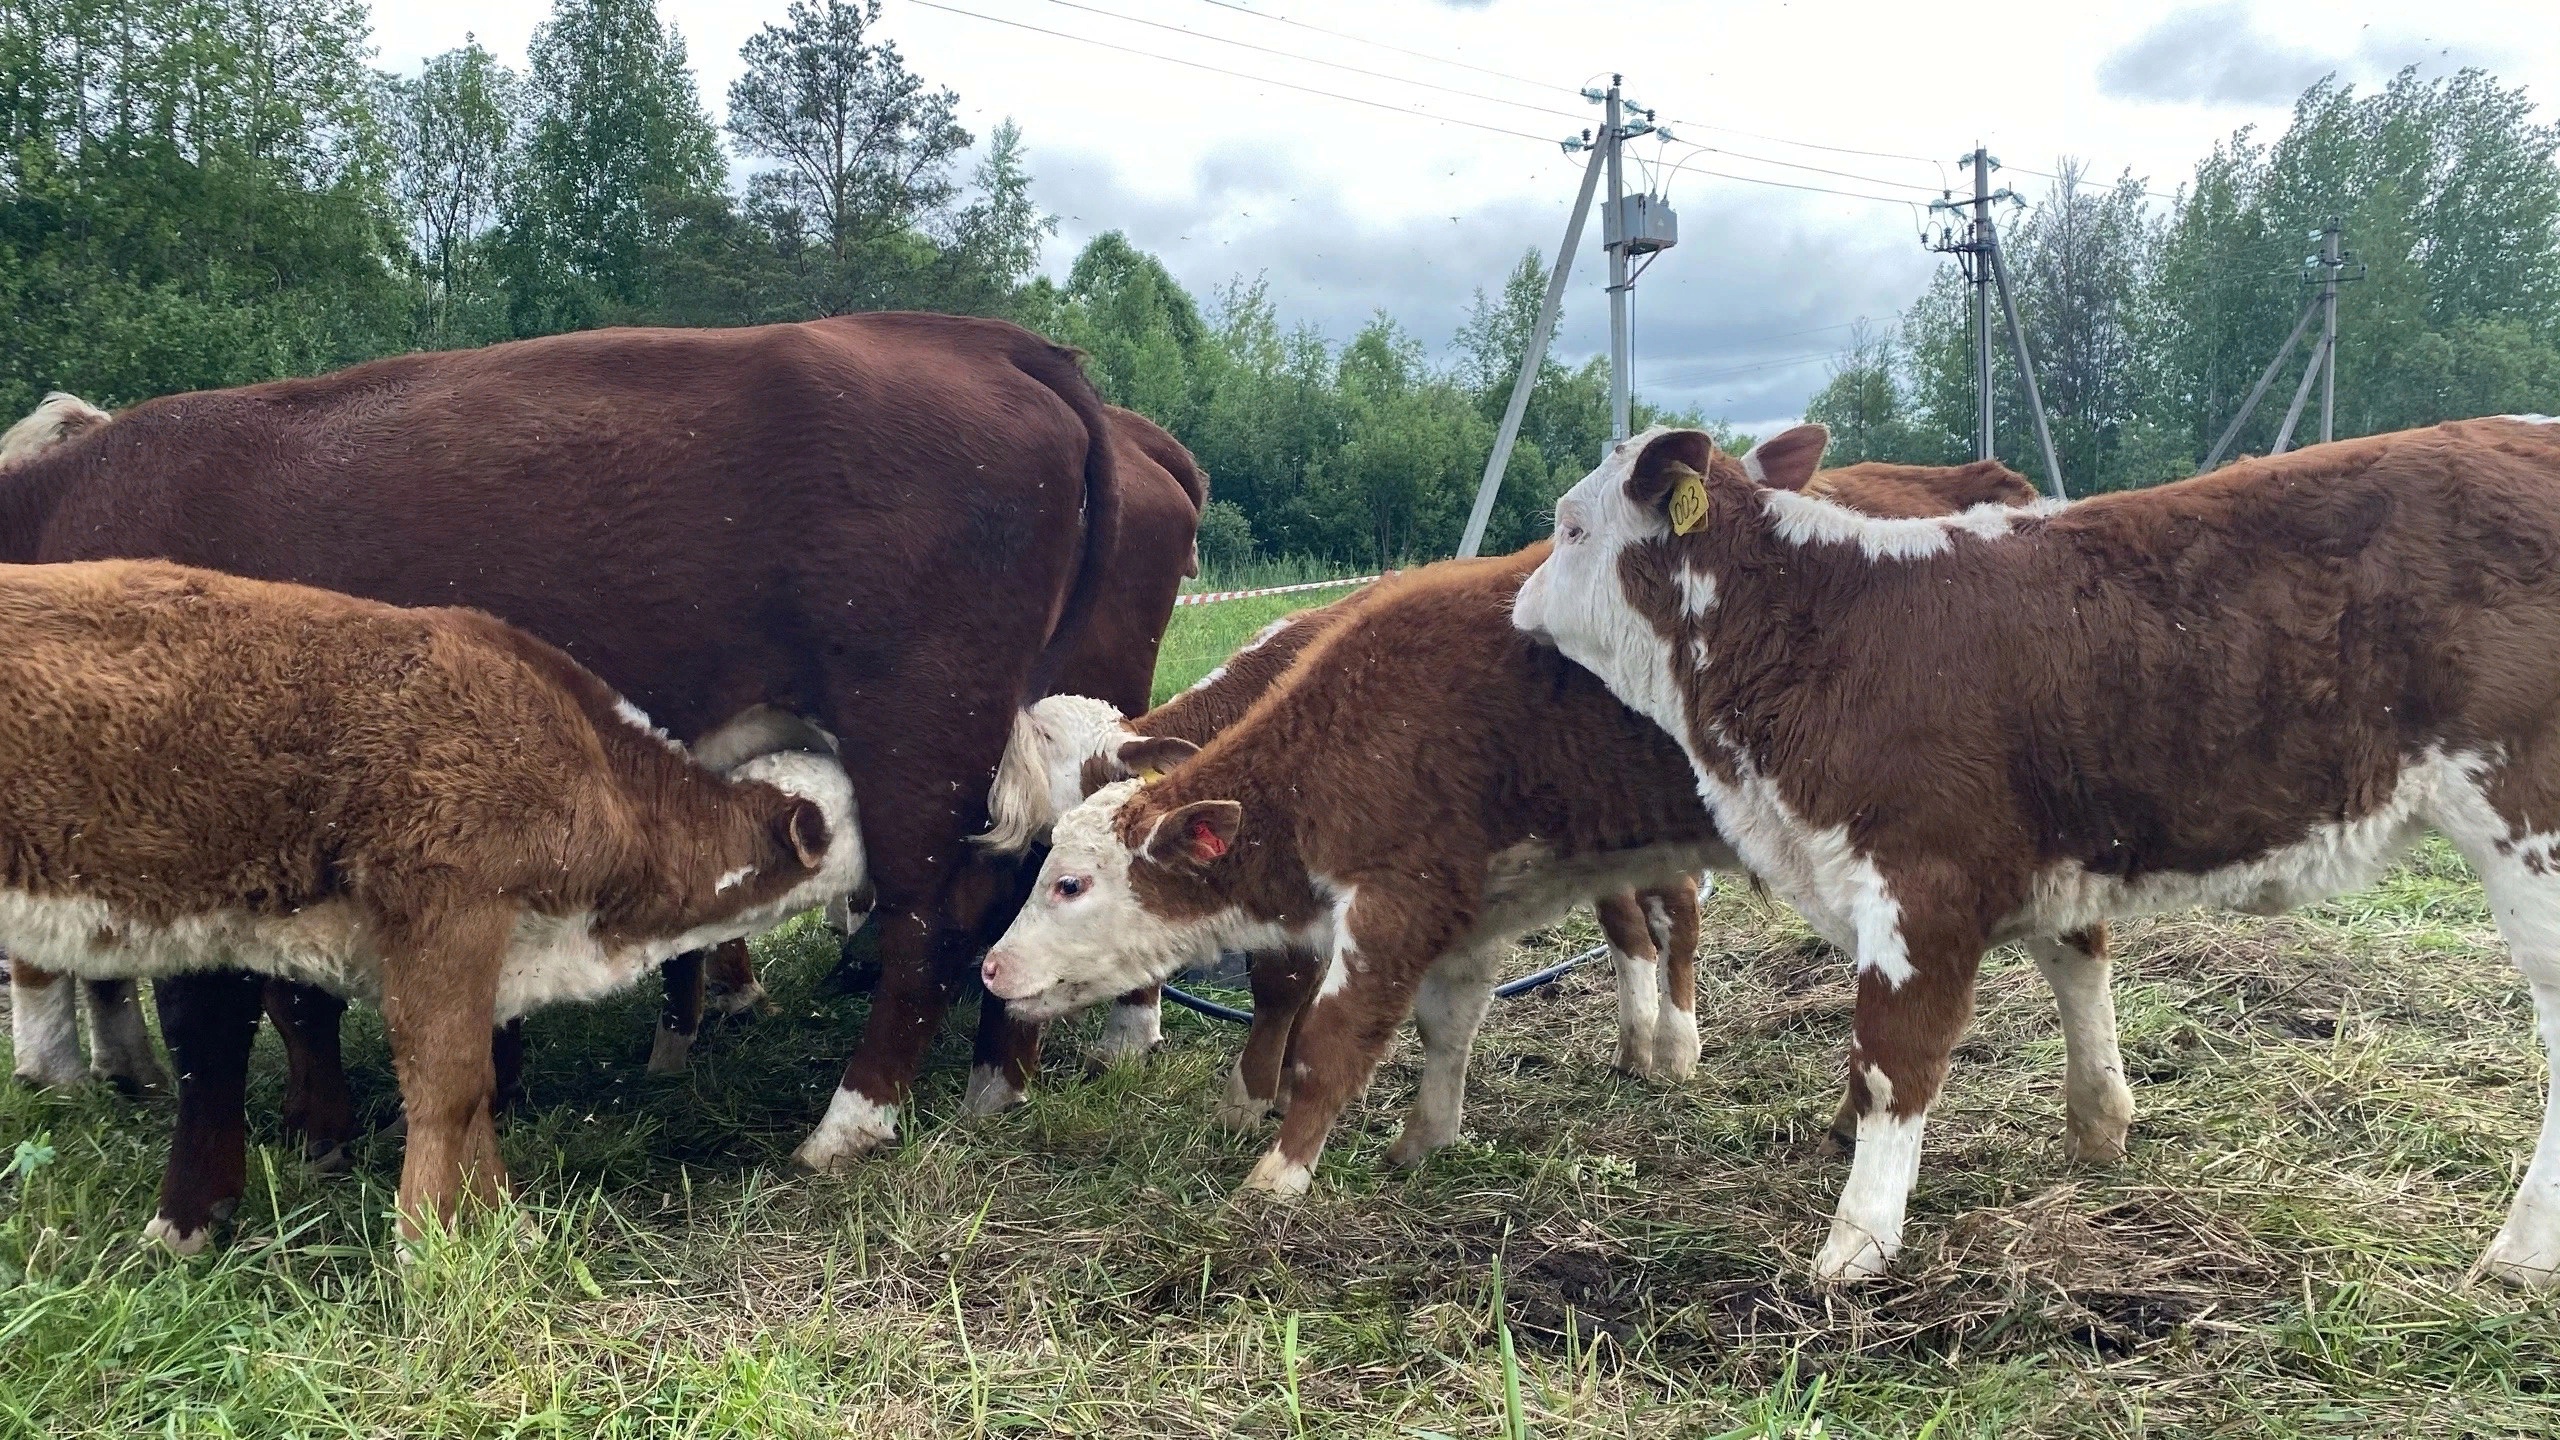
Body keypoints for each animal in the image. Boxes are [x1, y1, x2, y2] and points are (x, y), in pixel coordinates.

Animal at [1505, 412, 2560, 1276]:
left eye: (1571, 527)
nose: (1514, 606)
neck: (1824, 625)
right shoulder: (2039, 853)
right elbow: (2073, 964)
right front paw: (2098, 1127)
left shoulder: (1921, 879)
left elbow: (1895, 1056)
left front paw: (1856, 1243)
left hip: (2527, 823)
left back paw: (2519, 1257)